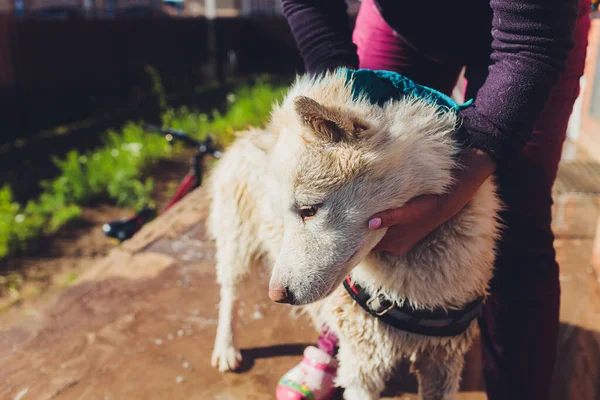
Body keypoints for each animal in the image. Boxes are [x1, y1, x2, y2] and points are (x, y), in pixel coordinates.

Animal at [206, 70, 502, 398]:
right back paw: (226, 348)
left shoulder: (442, 361)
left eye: (308, 210)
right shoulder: (364, 365)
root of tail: (244, 136)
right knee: (229, 293)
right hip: (237, 245)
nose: (277, 295)